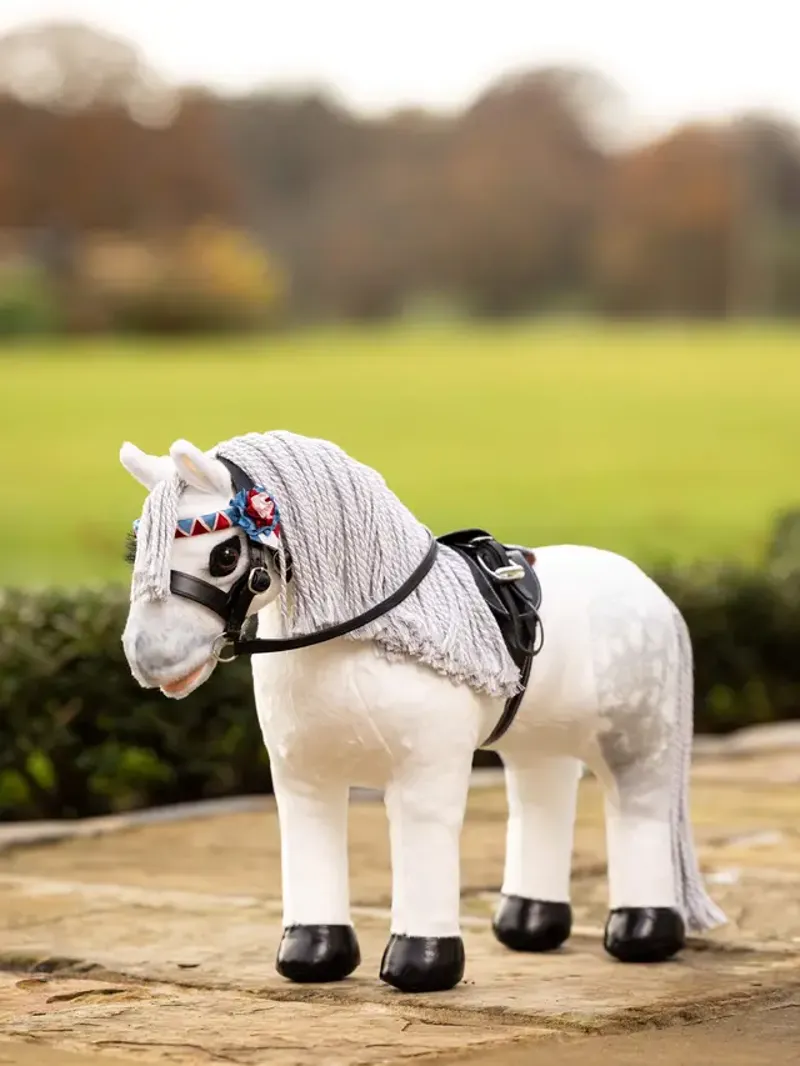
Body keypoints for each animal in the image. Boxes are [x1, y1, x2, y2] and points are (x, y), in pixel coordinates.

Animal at [120, 429, 724, 994]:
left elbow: (421, 834)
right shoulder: (303, 776)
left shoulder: (426, 770)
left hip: (636, 740)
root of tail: (652, 592)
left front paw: (421, 966)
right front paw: (312, 958)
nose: (148, 657)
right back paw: (529, 927)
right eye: (137, 552)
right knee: (543, 800)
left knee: (638, 808)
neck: (369, 634)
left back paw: (641, 934)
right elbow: (310, 836)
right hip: (540, 740)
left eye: (224, 554)